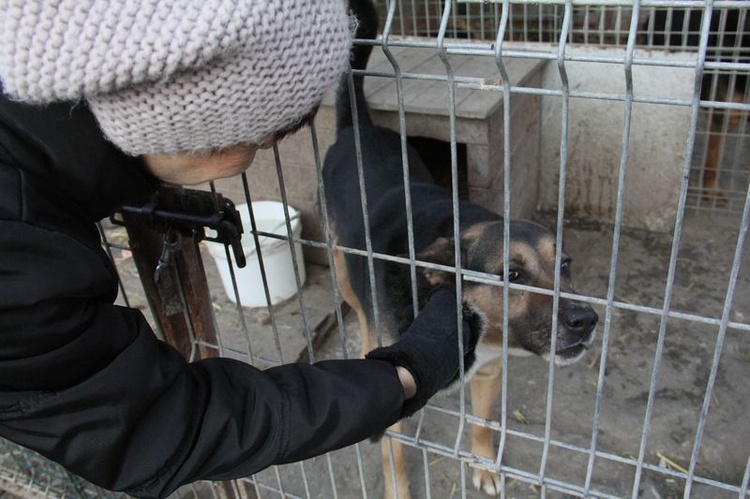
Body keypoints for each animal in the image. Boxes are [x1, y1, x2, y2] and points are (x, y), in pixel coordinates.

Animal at [324, 2, 600, 496]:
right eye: (513, 275)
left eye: (566, 265)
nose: (586, 320)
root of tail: (358, 129)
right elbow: (395, 453)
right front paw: (398, 490)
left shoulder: (489, 372)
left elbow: (482, 424)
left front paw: (485, 465)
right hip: (342, 268)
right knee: (358, 308)